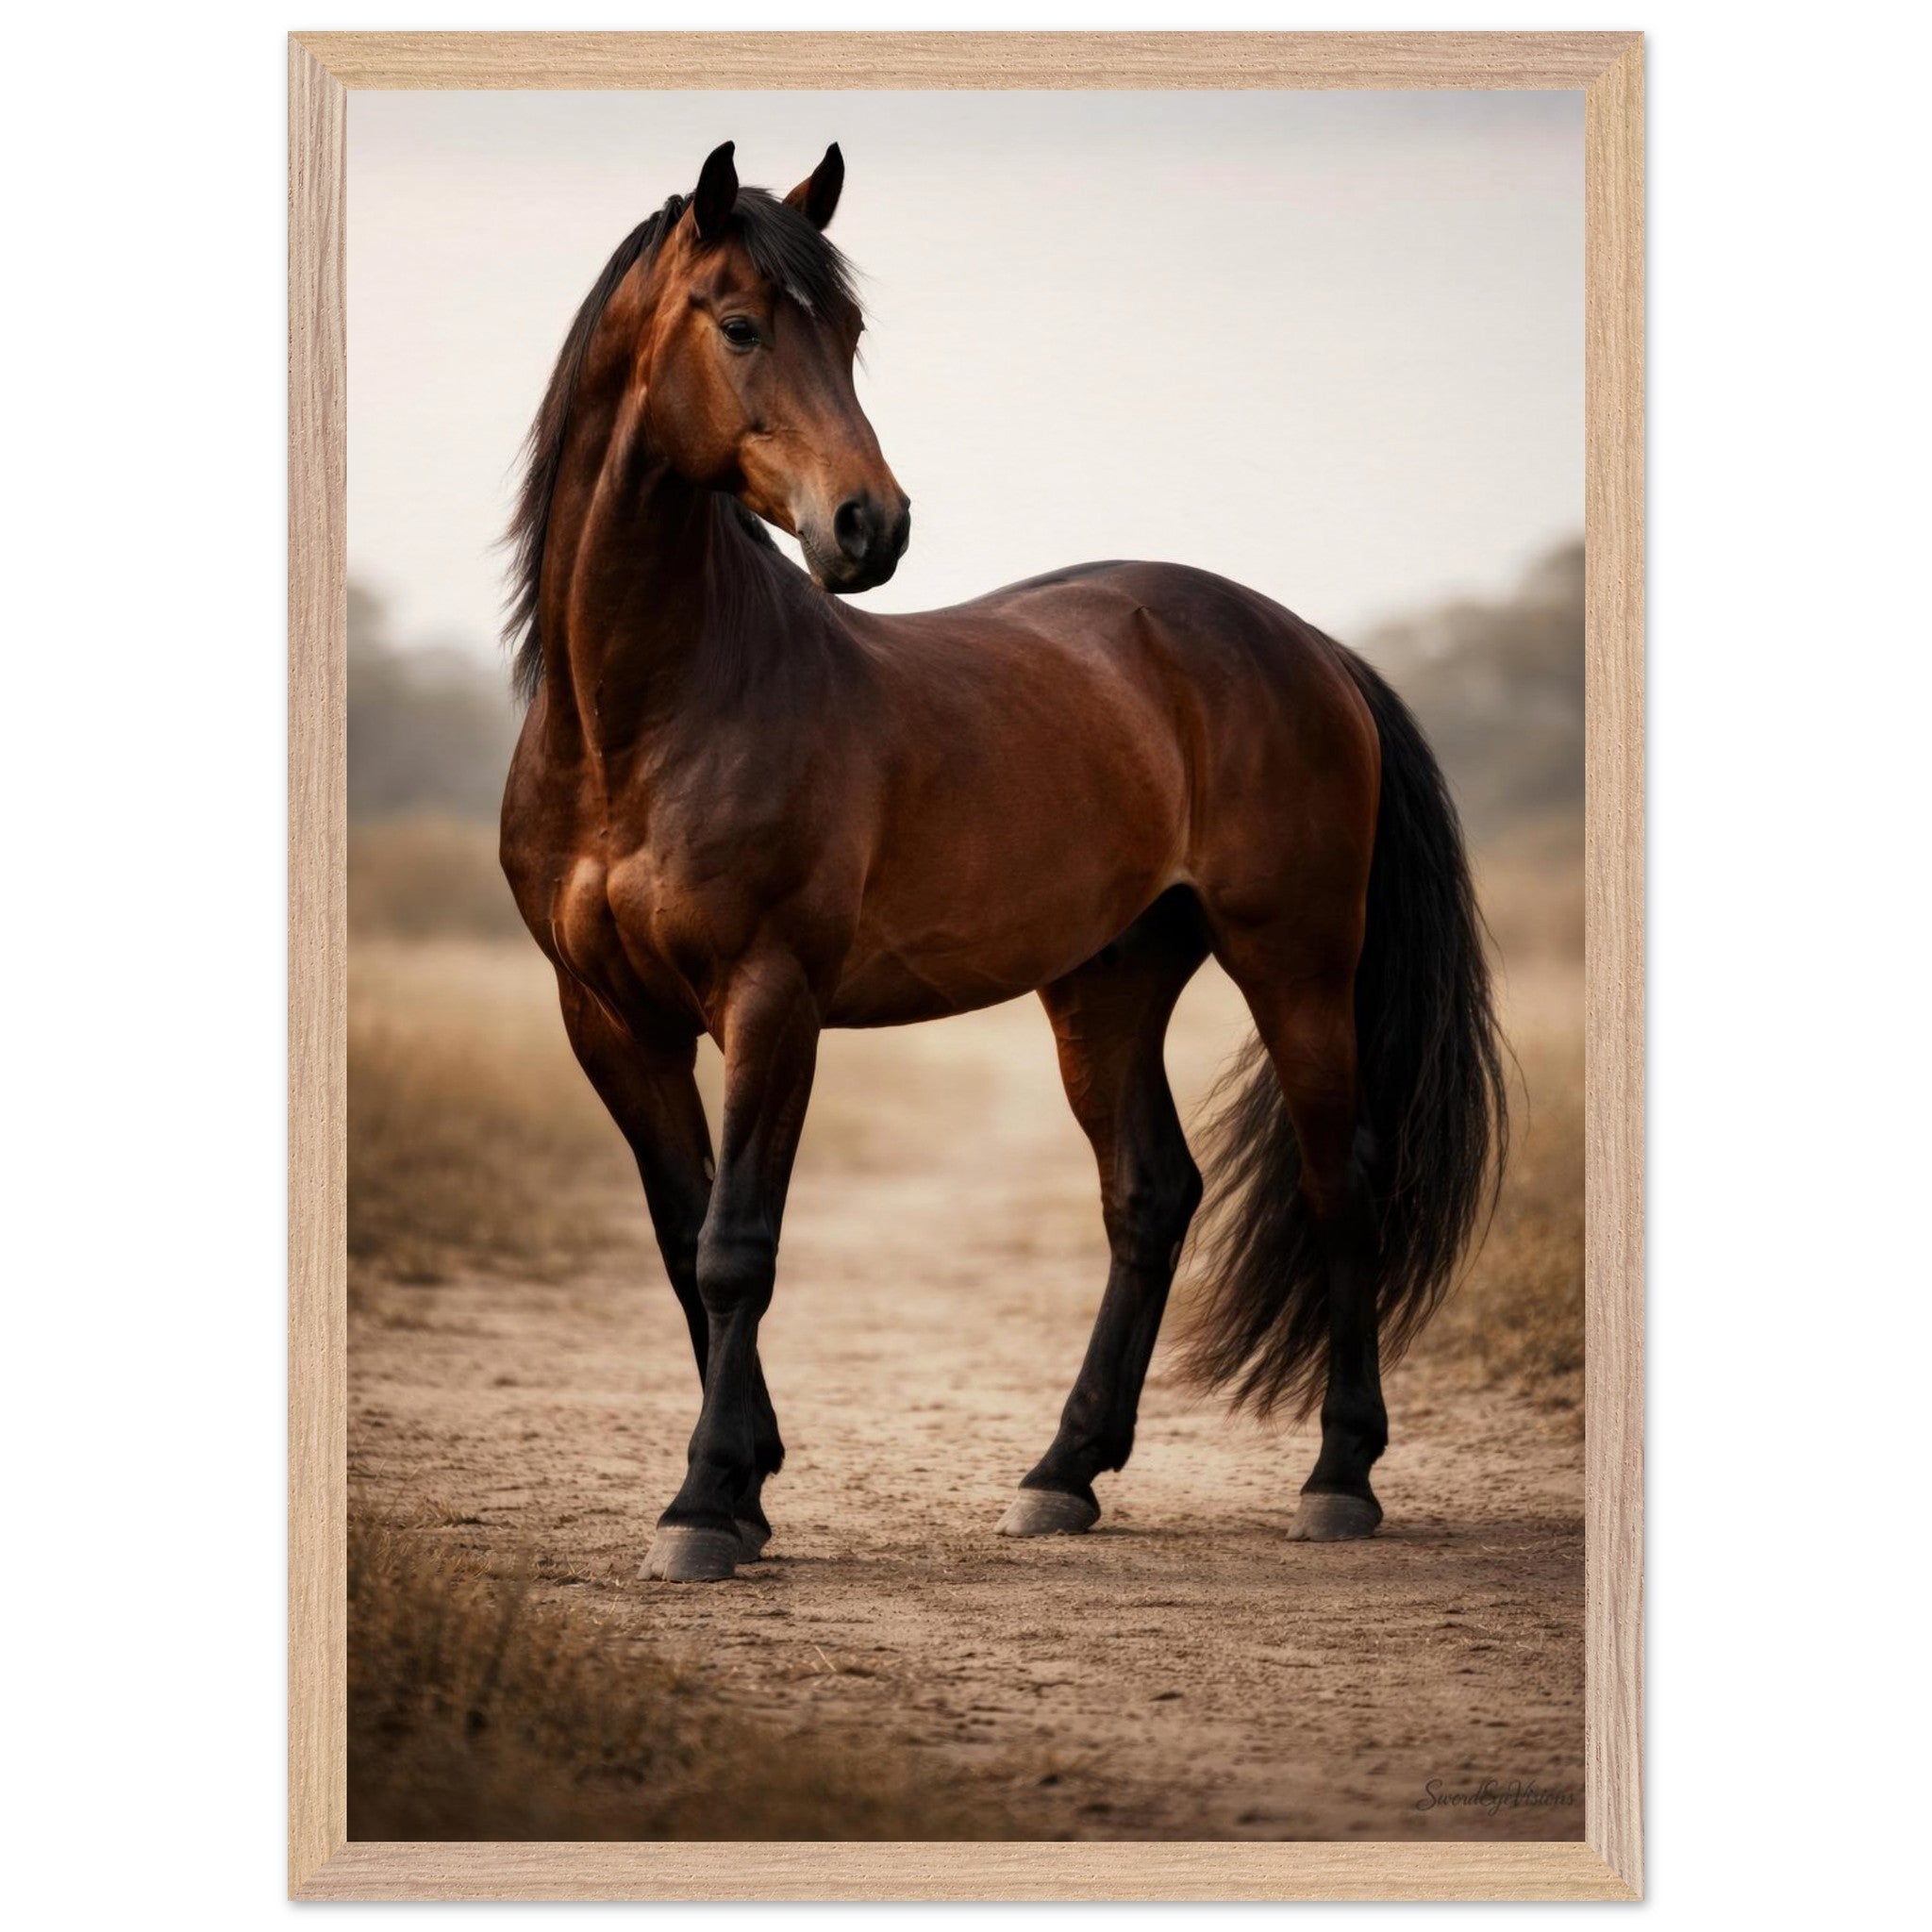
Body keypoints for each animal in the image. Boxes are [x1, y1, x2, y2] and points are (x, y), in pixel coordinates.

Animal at [499, 141, 1506, 1582]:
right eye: (739, 325)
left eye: (850, 332)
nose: (870, 527)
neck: (644, 718)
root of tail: (1304, 641)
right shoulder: (608, 1021)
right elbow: (682, 1239)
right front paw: (742, 1488)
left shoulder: (769, 1000)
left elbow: (738, 1245)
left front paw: (700, 1505)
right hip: (1108, 981)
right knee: (1151, 1195)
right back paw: (1061, 1472)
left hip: (1295, 964)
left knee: (1340, 1180)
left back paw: (1338, 1476)